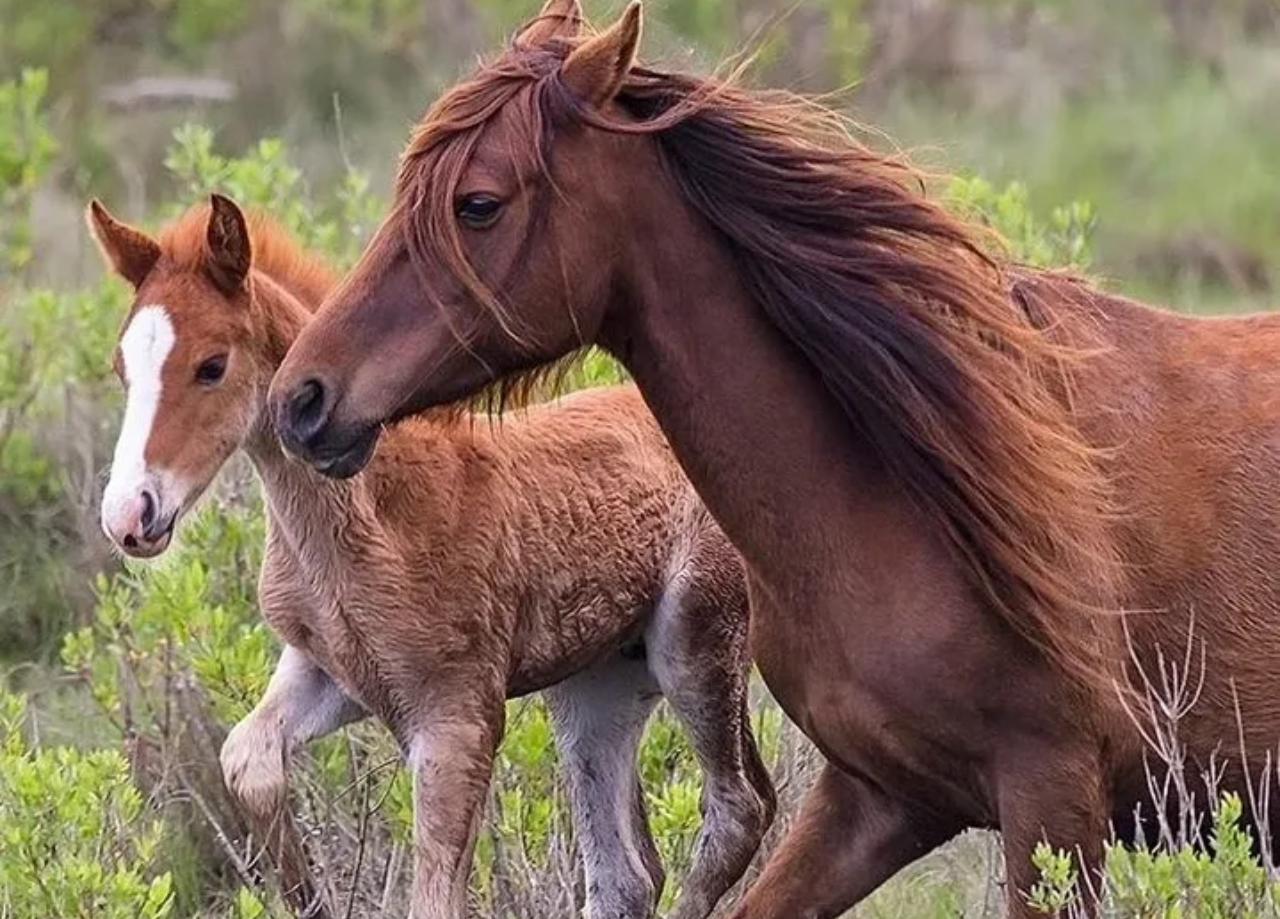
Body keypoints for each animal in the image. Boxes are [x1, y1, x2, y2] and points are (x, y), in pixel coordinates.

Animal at [86, 193, 776, 919]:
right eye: (122, 368)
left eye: (211, 365)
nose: (130, 515)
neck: (367, 516)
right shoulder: (330, 668)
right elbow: (245, 759)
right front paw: (311, 898)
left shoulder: (456, 714)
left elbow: (436, 896)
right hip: (596, 684)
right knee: (627, 874)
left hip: (695, 642)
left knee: (739, 808)